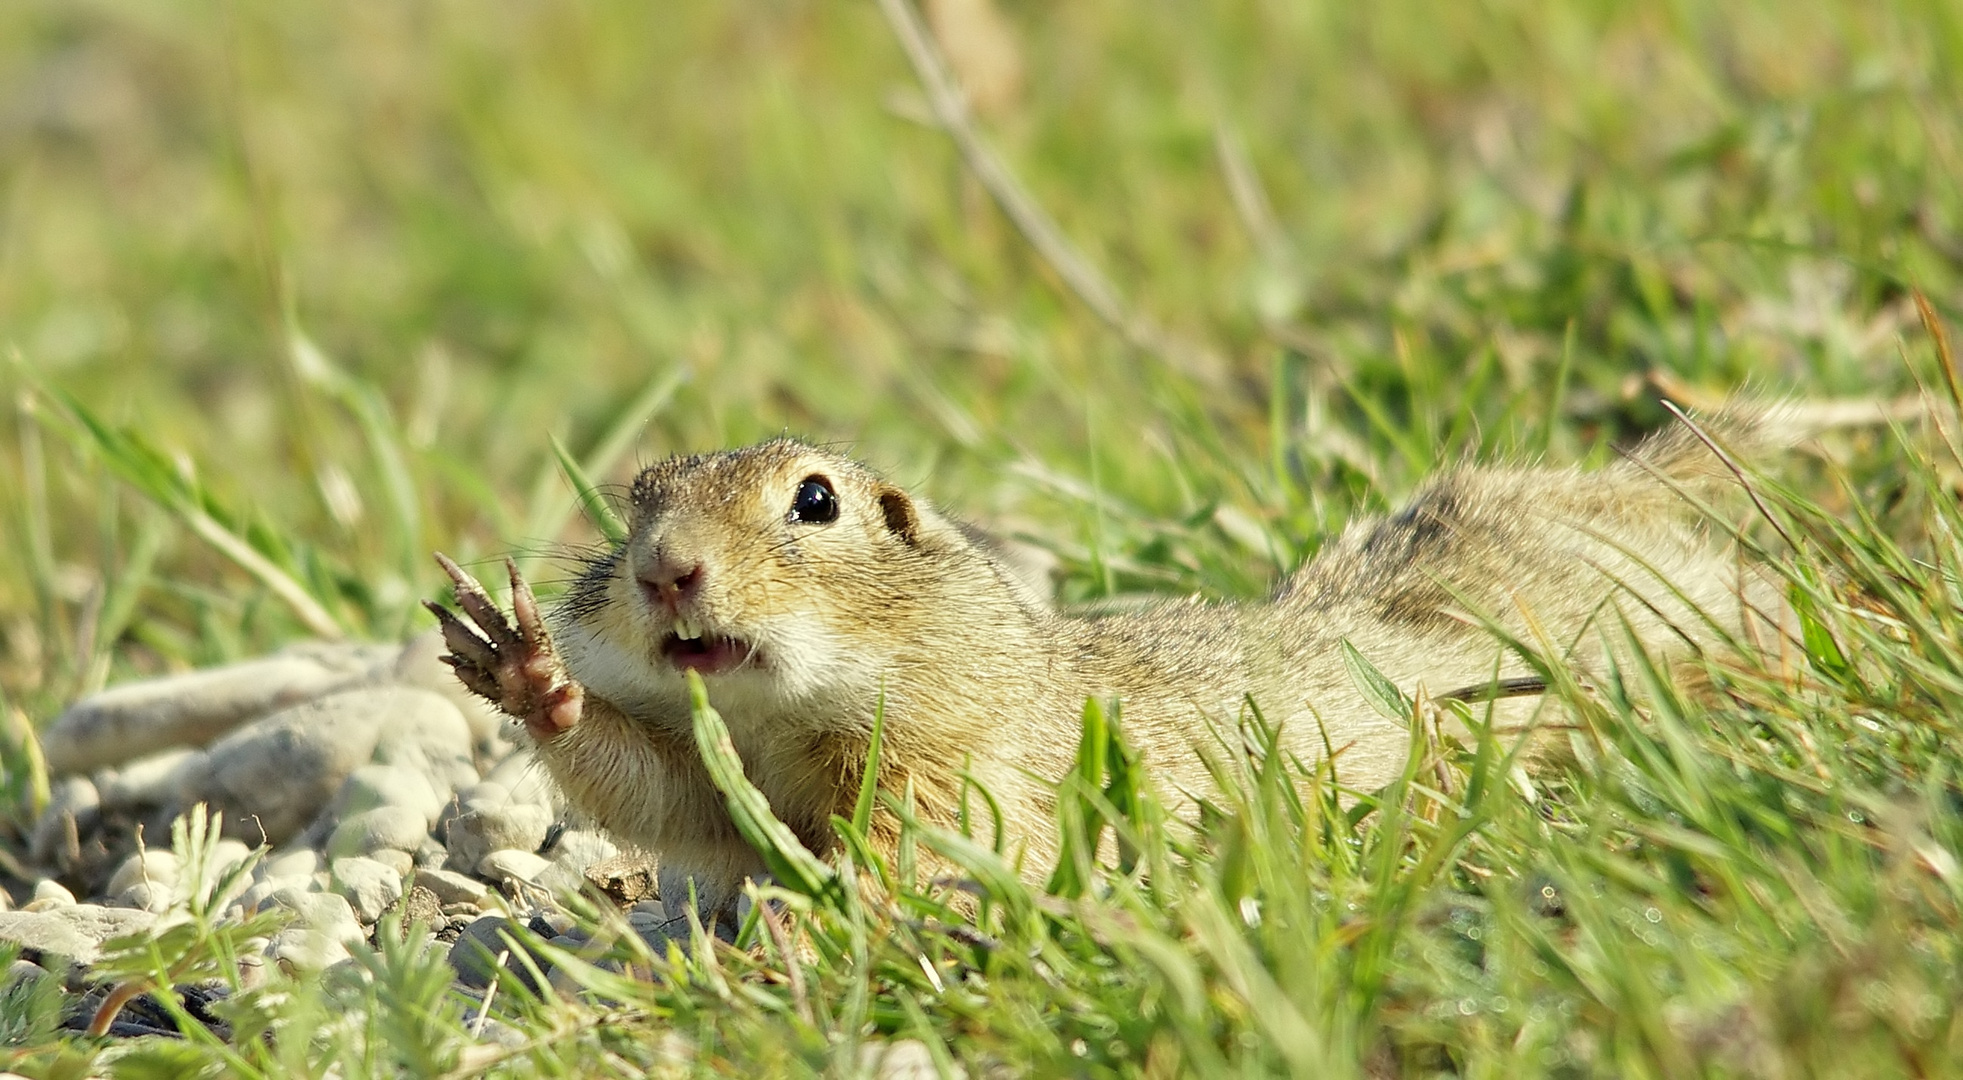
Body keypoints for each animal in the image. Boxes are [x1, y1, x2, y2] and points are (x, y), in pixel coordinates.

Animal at [429, 410, 1798, 918]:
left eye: (814, 500)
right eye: (634, 500)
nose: (665, 571)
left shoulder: (962, 766)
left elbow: (923, 854)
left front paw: (815, 915)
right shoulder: (730, 782)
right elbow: (664, 792)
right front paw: (523, 666)